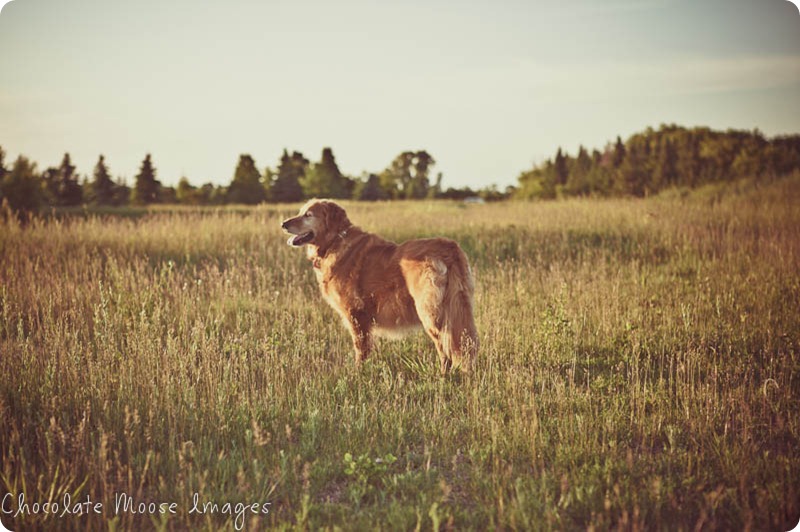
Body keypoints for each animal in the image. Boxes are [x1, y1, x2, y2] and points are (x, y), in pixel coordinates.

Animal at [282, 201, 478, 374]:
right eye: (300, 212)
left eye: (308, 215)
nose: (283, 224)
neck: (335, 242)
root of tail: (449, 248)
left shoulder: (356, 315)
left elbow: (361, 351)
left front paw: (358, 375)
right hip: (457, 309)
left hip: (431, 313)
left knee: (445, 349)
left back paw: (443, 377)